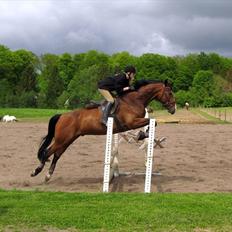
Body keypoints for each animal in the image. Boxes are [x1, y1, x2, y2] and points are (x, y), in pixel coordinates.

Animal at [31, 79, 176, 181]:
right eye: (169, 93)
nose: (173, 109)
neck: (134, 100)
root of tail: (62, 115)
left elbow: (153, 122)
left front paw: (141, 135)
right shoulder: (131, 122)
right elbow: (152, 122)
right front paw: (140, 135)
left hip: (68, 140)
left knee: (56, 155)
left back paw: (48, 176)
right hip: (62, 139)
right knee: (47, 152)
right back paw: (36, 171)